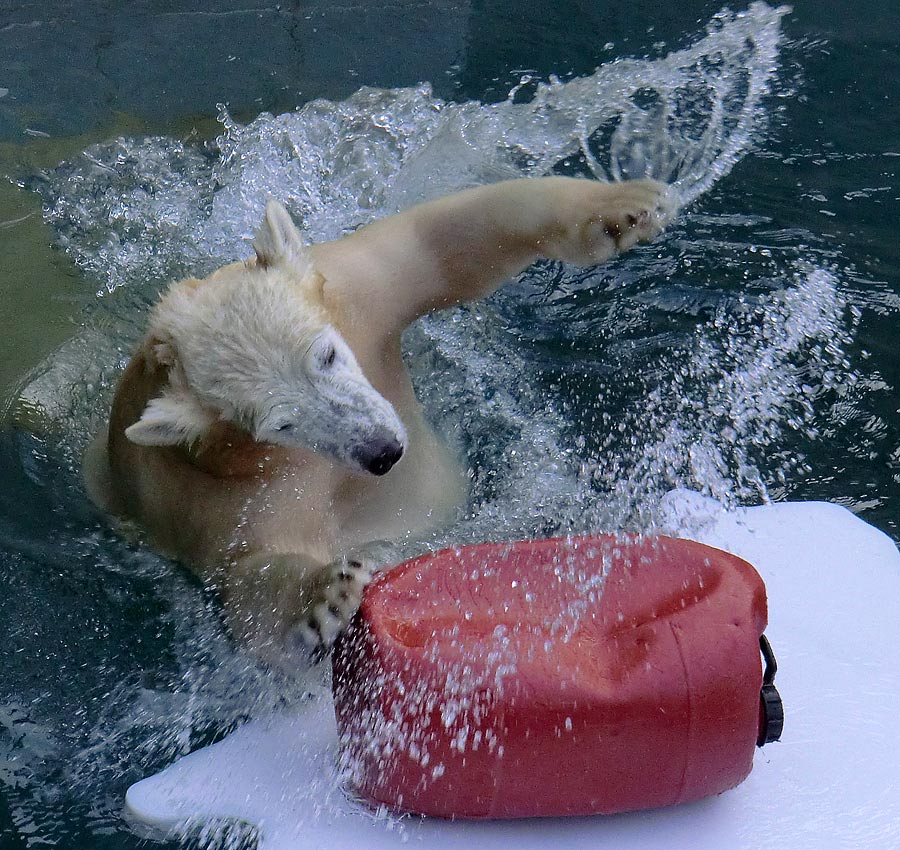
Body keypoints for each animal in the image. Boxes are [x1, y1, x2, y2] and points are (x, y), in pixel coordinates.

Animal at [86, 176, 676, 660]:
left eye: (326, 355)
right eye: (282, 424)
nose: (382, 452)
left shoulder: (359, 293)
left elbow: (440, 241)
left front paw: (623, 208)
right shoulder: (215, 497)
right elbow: (251, 586)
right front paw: (327, 593)